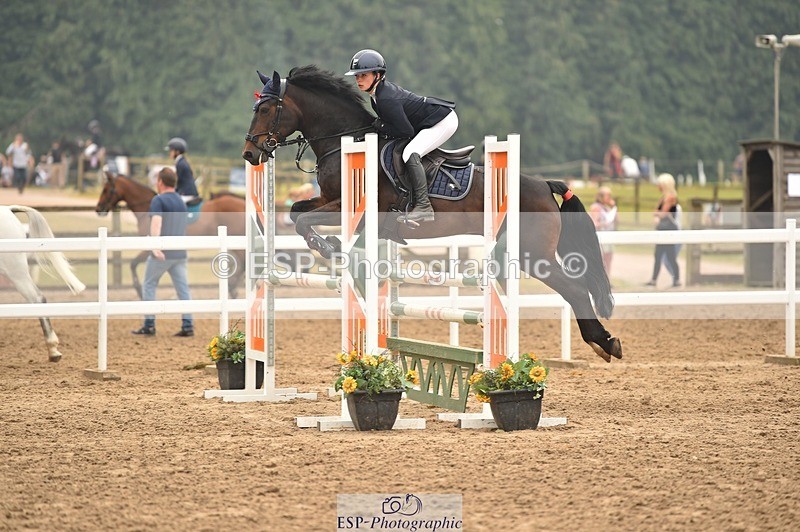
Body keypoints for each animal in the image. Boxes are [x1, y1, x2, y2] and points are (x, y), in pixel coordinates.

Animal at [94, 172, 247, 298]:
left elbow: (133, 264)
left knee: (244, 262)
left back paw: (232, 288)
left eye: (106, 190)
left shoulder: (150, 247)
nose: (98, 209)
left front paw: (139, 290)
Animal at [242, 66, 623, 362]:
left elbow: (305, 220)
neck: (344, 141)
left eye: (267, 109)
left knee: (575, 289)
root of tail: (544, 184)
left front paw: (330, 246)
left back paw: (604, 343)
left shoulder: (355, 211)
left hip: (532, 253)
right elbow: (297, 212)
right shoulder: (328, 200)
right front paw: (329, 245)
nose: (249, 153)